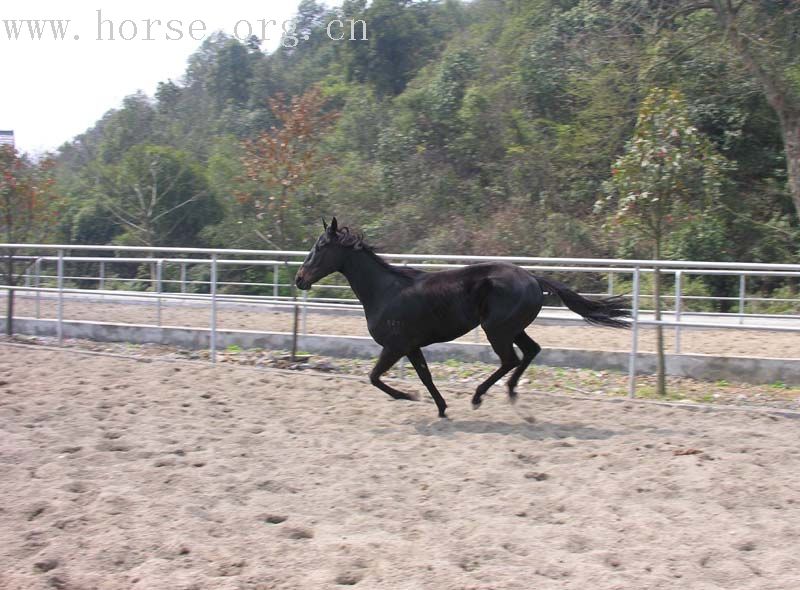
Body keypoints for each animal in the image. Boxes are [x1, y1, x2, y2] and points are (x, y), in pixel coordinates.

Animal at [296, 220, 632, 418]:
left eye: (321, 246)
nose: (300, 279)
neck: (385, 291)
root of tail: (533, 278)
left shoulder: (395, 346)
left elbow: (375, 377)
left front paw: (409, 396)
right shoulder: (412, 347)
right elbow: (425, 376)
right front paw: (441, 408)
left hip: (496, 330)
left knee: (510, 359)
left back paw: (479, 396)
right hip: (512, 328)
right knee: (531, 351)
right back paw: (511, 392)